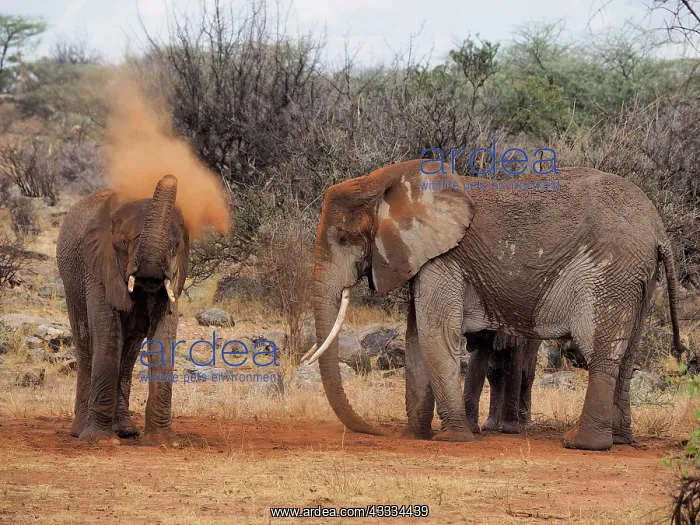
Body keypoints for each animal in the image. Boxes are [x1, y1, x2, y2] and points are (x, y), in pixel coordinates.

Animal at [56, 174, 188, 445]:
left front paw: (165, 443)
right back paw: (80, 431)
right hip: (71, 284)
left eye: (175, 247)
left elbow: (164, 337)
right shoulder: (96, 268)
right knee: (86, 342)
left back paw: (126, 430)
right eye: (122, 244)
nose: (170, 176)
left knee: (129, 350)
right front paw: (101, 441)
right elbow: (107, 336)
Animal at [302, 159, 685, 450]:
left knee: (602, 352)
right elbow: (416, 339)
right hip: (636, 277)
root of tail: (658, 229)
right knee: (628, 354)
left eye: (344, 238)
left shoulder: (444, 259)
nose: (378, 431)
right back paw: (620, 441)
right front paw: (417, 436)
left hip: (609, 273)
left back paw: (582, 443)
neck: (390, 181)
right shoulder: (424, 259)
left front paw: (454, 438)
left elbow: (435, 334)